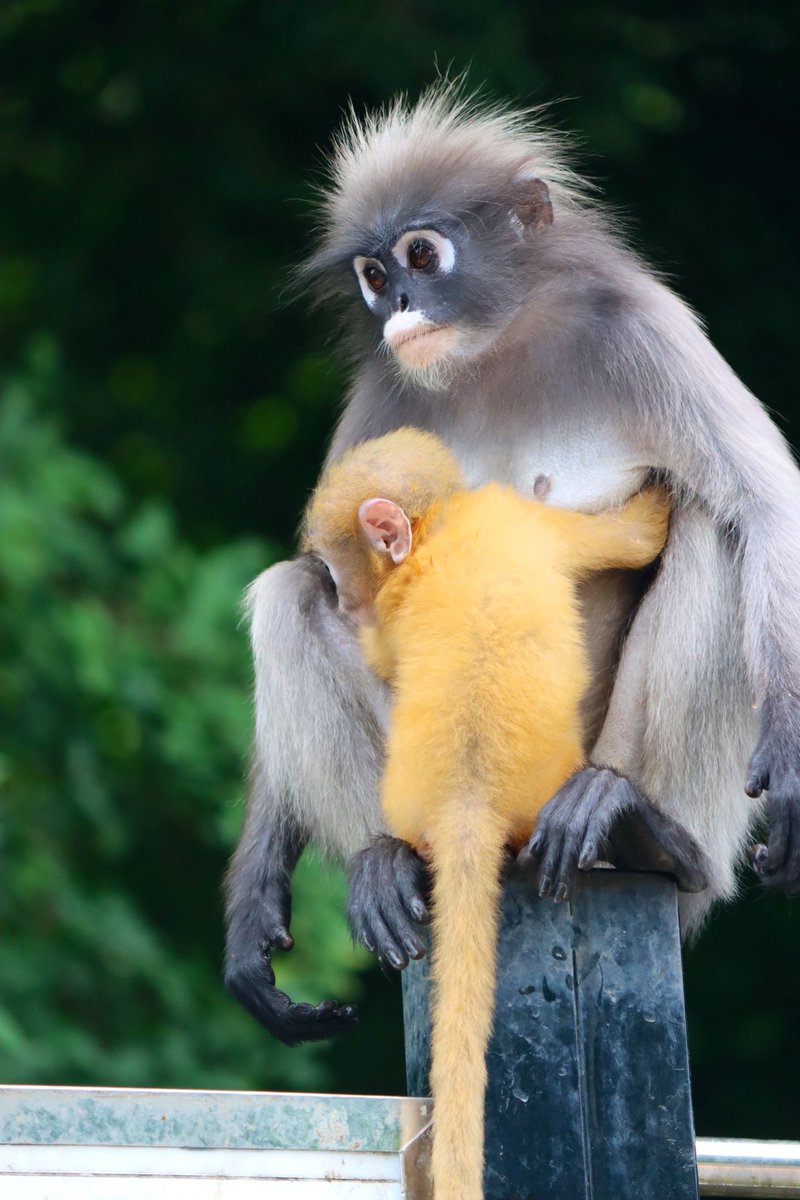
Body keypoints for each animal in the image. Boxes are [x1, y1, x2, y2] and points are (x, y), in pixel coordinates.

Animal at [224, 83, 800, 1046]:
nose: (398, 301)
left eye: (422, 254)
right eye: (372, 274)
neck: (495, 347)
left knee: (716, 527)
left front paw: (789, 753)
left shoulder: (644, 329)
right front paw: (253, 903)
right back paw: (387, 861)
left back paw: (647, 831)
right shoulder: (383, 393)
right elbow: (326, 575)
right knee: (288, 592)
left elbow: (766, 509)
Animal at [301, 426, 678, 1200]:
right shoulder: (517, 518)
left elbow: (632, 537)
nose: (347, 605)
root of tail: (467, 802)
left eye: (340, 571)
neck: (441, 528)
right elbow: (632, 539)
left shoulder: (502, 520)